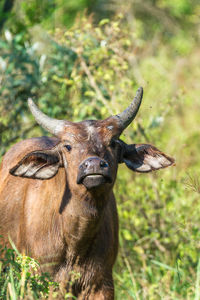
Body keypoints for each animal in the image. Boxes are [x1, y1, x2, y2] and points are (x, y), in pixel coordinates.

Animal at [0, 86, 173, 298]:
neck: (75, 242)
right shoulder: (43, 281)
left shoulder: (101, 283)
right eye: (68, 146)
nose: (94, 165)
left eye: (113, 142)